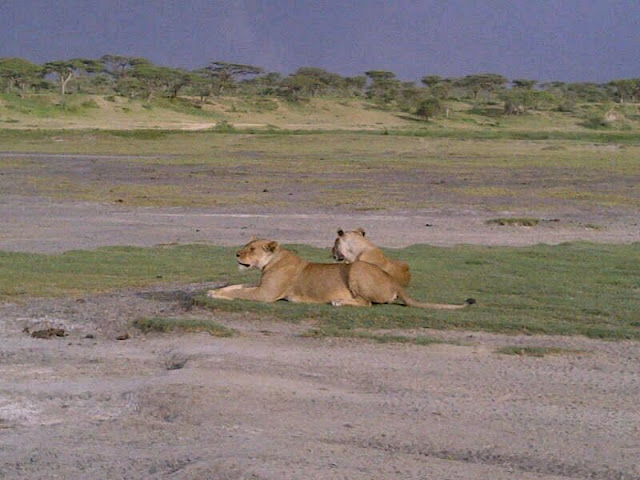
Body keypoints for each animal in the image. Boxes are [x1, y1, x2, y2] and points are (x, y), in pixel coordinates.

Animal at [208, 238, 472, 310]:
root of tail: (394, 281)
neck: (272, 260)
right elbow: (234, 287)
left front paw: (218, 296)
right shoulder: (260, 286)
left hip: (355, 267)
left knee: (367, 303)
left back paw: (338, 301)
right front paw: (213, 290)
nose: (237, 254)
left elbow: (239, 294)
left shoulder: (265, 295)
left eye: (252, 249)